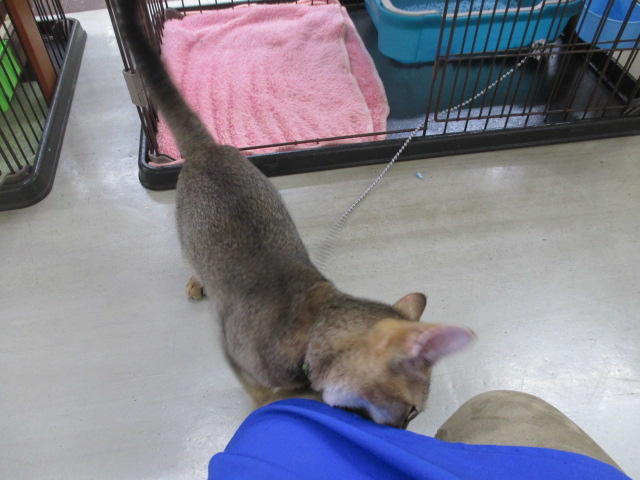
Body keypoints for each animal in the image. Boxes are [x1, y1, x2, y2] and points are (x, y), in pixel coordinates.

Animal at [115, 0, 473, 429]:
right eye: (411, 411)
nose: (406, 429)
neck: (311, 328)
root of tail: (209, 150)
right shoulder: (233, 354)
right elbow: (262, 394)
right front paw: (277, 400)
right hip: (189, 236)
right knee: (192, 259)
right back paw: (197, 281)